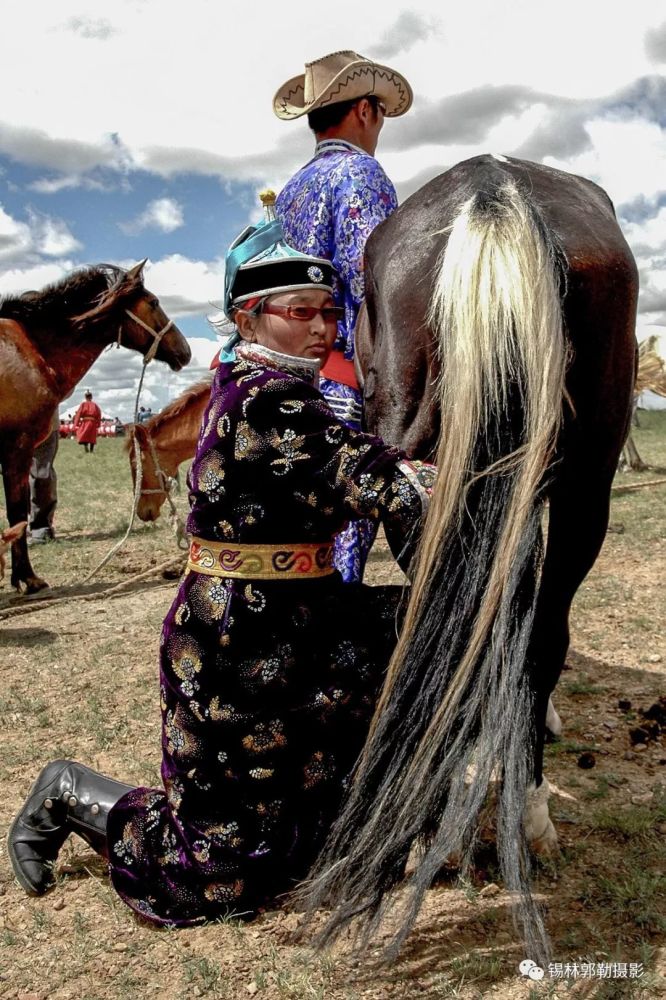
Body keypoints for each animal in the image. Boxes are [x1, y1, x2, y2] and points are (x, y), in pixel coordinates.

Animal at [0, 262, 192, 588]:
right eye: (154, 302)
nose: (186, 351)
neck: (31, 349)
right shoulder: (17, 448)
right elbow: (16, 515)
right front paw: (28, 578)